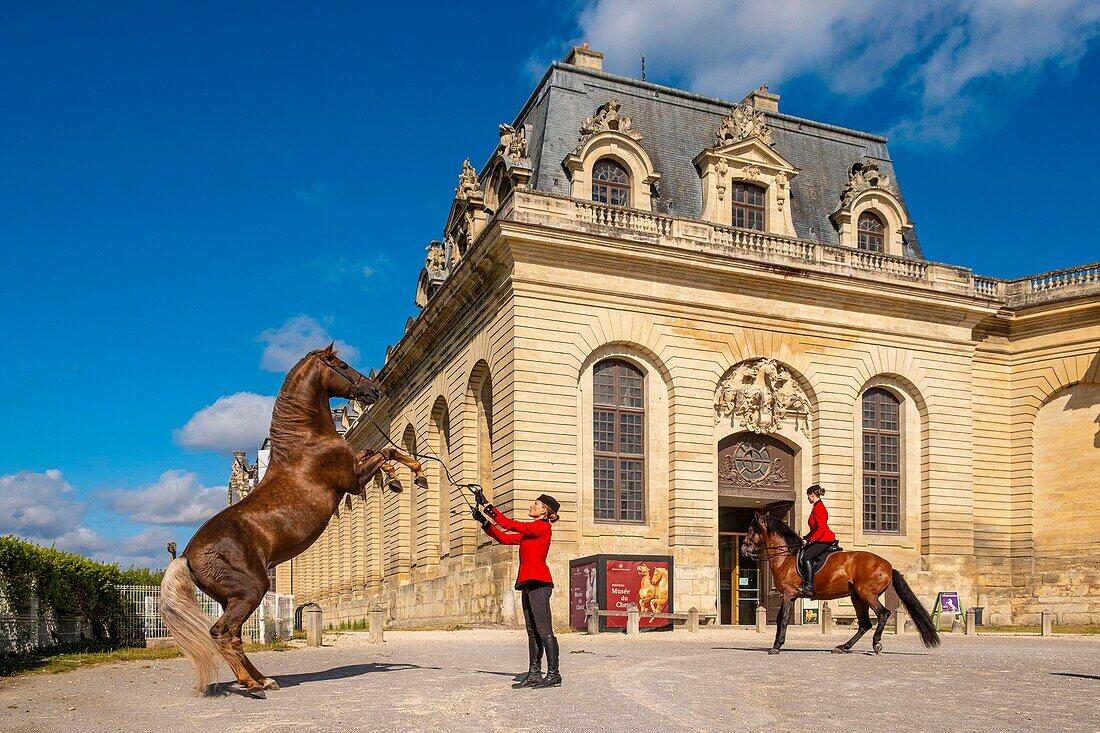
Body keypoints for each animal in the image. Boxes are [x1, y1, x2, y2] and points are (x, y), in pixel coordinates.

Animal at [160, 343, 426, 695]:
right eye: (341, 364)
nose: (373, 389)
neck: (307, 440)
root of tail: (187, 556)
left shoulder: (355, 476)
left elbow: (380, 453)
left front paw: (401, 478)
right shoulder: (353, 480)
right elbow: (385, 453)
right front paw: (414, 474)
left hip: (233, 597)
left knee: (233, 636)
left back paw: (263, 680)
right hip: (251, 591)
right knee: (223, 633)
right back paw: (252, 684)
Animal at [739, 510, 937, 651]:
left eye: (750, 530)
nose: (743, 550)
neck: (787, 557)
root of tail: (888, 565)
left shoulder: (788, 594)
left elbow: (784, 619)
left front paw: (777, 646)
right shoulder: (789, 596)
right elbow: (781, 617)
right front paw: (775, 643)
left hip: (867, 595)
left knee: (882, 614)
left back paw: (876, 644)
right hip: (857, 598)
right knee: (864, 624)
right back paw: (843, 647)